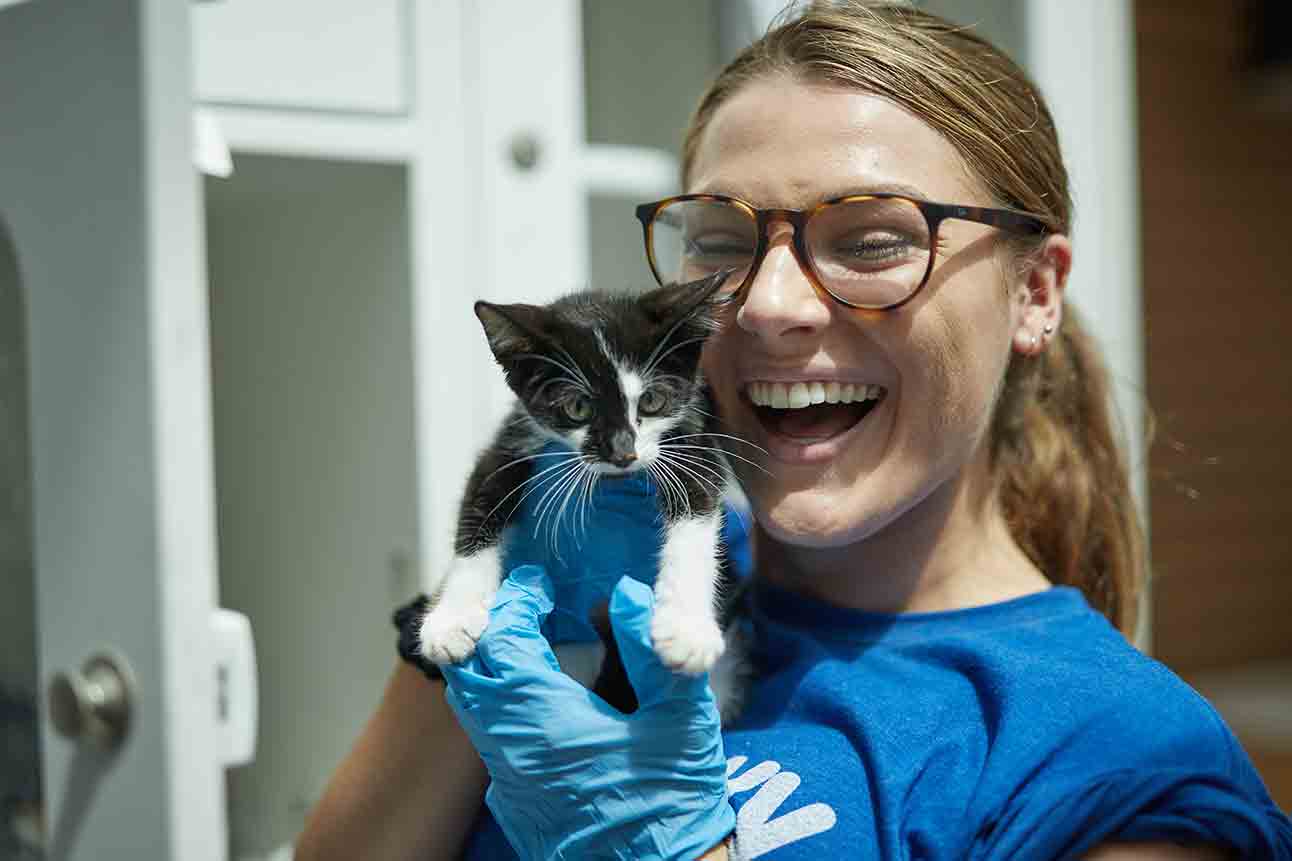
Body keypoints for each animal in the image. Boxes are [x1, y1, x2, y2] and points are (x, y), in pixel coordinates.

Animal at [418, 271, 754, 713]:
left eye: (652, 400)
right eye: (578, 408)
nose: (623, 453)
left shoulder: (692, 438)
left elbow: (696, 516)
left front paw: (686, 628)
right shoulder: (513, 441)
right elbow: (480, 504)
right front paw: (451, 620)